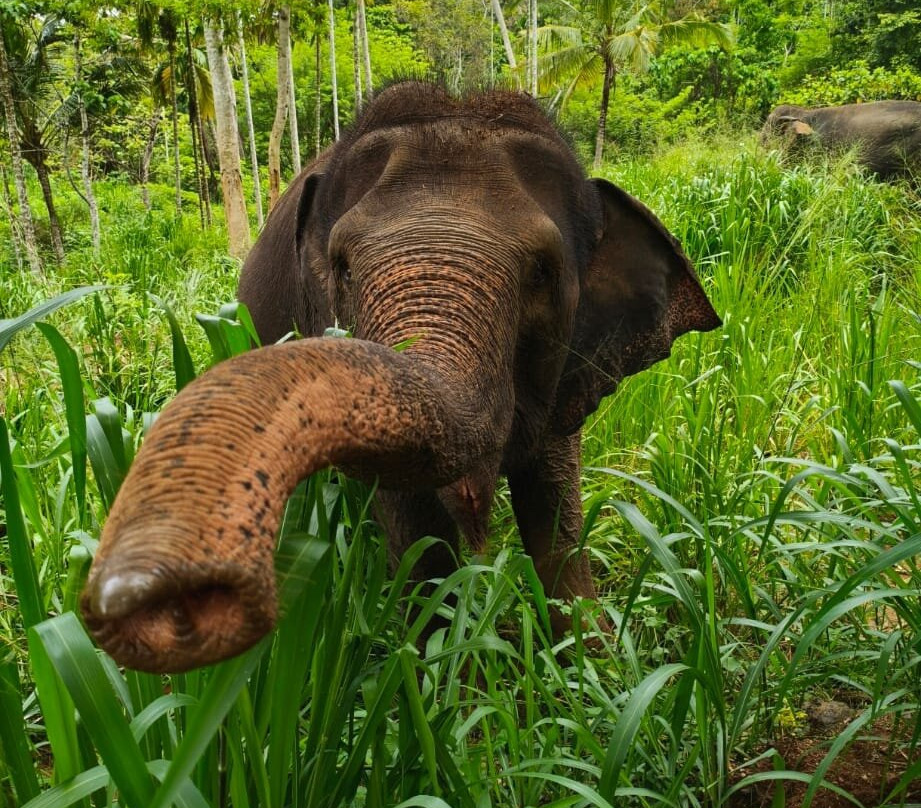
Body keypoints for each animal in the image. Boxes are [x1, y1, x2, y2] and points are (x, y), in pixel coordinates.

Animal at [80, 82, 721, 673]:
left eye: (542, 272)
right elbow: (419, 537)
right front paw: (444, 684)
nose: (157, 603)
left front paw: (594, 669)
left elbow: (555, 508)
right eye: (341, 267)